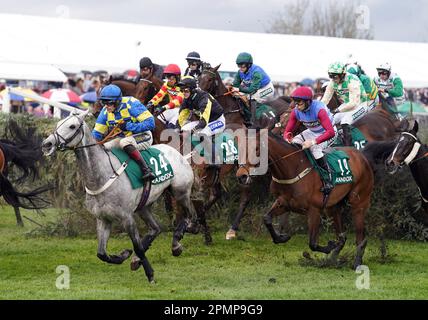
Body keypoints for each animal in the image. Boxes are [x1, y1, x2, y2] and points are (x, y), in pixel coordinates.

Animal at [41, 110, 198, 282]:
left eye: (72, 126)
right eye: (58, 124)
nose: (47, 144)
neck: (102, 176)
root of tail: (179, 153)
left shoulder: (126, 217)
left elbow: (137, 246)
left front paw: (150, 274)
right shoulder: (103, 219)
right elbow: (101, 253)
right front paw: (125, 254)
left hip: (180, 192)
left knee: (191, 216)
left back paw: (177, 242)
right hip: (144, 206)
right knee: (156, 228)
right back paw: (137, 258)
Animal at [236, 129, 372, 268]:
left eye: (256, 149)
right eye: (240, 148)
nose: (241, 176)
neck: (292, 168)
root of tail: (361, 155)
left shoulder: (314, 209)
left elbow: (313, 243)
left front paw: (329, 246)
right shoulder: (284, 203)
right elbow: (266, 218)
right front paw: (282, 237)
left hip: (359, 203)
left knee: (360, 237)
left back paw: (357, 262)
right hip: (333, 207)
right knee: (342, 236)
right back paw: (332, 260)